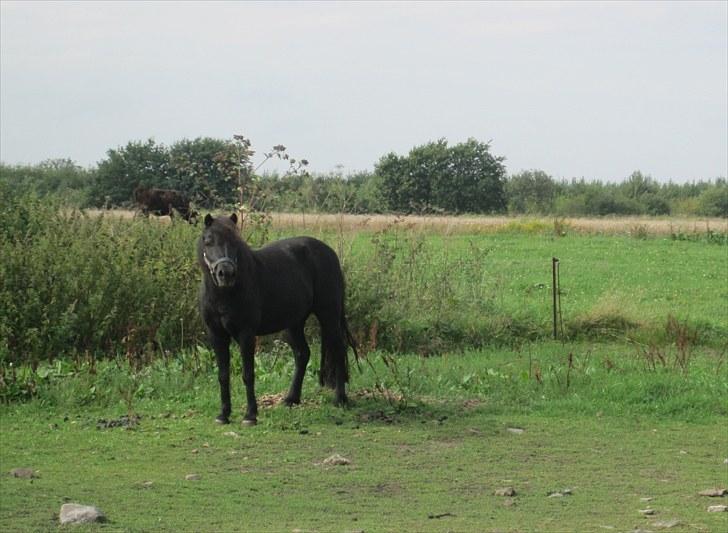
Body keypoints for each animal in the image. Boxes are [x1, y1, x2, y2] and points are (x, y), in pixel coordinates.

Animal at [199, 212, 358, 424]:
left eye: (235, 241)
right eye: (208, 241)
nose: (226, 273)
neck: (225, 294)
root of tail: (329, 252)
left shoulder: (246, 334)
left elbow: (248, 374)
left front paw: (250, 415)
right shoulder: (217, 335)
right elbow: (223, 375)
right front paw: (223, 415)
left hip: (329, 315)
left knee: (339, 350)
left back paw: (340, 399)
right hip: (294, 323)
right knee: (302, 354)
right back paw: (291, 399)